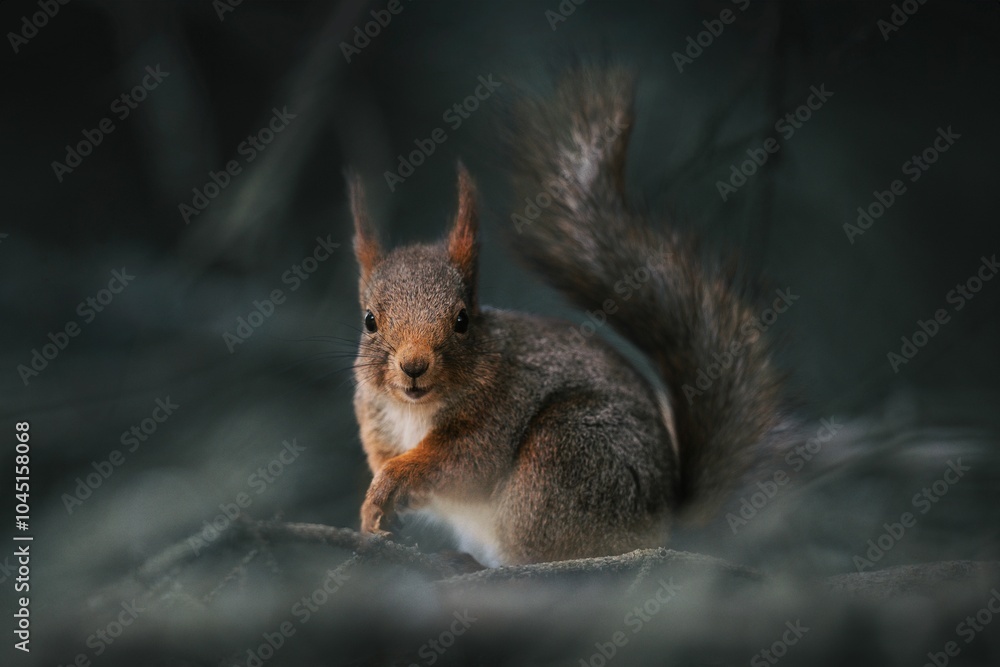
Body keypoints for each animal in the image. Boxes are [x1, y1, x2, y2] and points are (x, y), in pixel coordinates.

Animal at [347, 66, 789, 567]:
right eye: (369, 320)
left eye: (462, 320)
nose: (414, 366)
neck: (414, 410)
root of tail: (664, 526)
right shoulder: (377, 421)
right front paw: (376, 510)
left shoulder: (500, 410)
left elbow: (463, 464)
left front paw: (393, 481)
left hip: (560, 461)